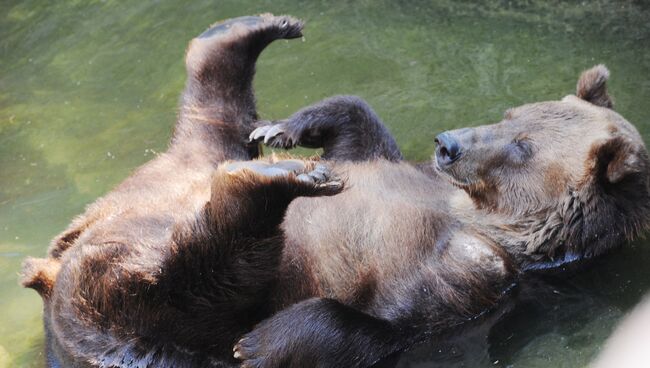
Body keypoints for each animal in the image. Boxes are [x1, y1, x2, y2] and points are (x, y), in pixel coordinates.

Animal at [19, 12, 648, 366]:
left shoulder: (480, 280)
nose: (448, 142)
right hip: (173, 172)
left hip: (149, 324)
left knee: (195, 273)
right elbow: (358, 125)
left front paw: (259, 344)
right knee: (215, 123)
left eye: (523, 147)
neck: (478, 215)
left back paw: (279, 182)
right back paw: (249, 37)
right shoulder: (403, 170)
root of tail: (49, 270)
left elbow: (385, 326)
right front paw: (286, 128)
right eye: (512, 114)